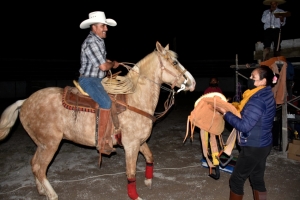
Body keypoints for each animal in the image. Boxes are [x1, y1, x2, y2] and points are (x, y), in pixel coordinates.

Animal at [0, 41, 196, 200]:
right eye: (175, 62)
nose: (192, 82)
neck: (134, 99)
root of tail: (24, 101)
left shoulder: (139, 142)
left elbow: (150, 156)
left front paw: (148, 181)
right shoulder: (131, 145)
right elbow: (131, 173)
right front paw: (135, 196)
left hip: (41, 144)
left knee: (34, 165)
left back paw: (42, 191)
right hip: (50, 144)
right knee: (40, 168)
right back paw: (52, 194)